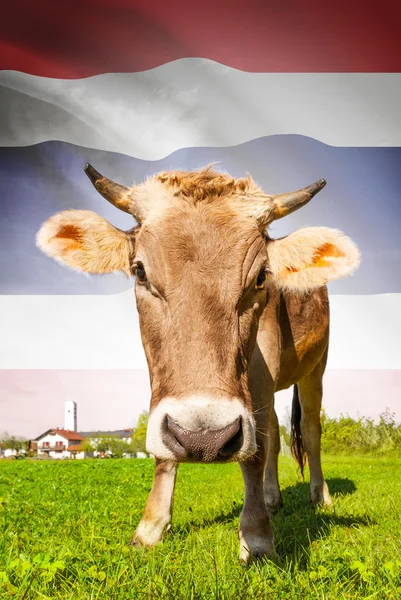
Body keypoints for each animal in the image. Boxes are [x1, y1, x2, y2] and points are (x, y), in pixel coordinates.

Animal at [37, 164, 360, 564]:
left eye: (261, 277)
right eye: (140, 271)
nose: (203, 438)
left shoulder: (263, 365)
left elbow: (254, 452)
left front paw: (256, 536)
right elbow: (167, 449)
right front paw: (150, 527)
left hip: (316, 367)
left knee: (310, 431)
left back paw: (320, 495)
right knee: (271, 430)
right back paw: (273, 497)